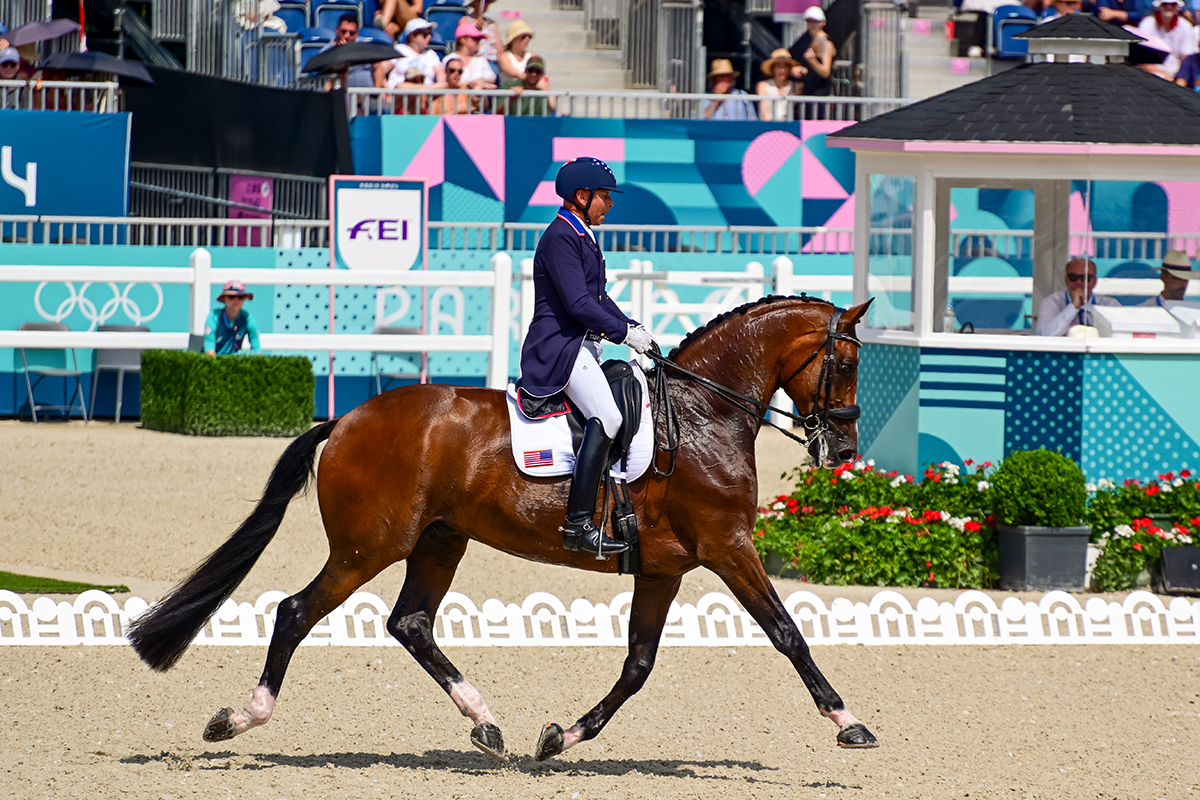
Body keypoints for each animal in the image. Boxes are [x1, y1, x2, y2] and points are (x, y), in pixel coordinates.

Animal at [126, 293, 878, 762]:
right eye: (846, 364)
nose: (842, 452)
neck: (702, 415)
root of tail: (345, 419)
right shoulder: (728, 547)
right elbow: (787, 633)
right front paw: (849, 723)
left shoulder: (665, 567)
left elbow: (637, 666)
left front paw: (560, 737)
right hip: (370, 546)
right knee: (295, 612)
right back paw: (239, 719)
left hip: (439, 540)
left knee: (410, 623)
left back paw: (486, 723)